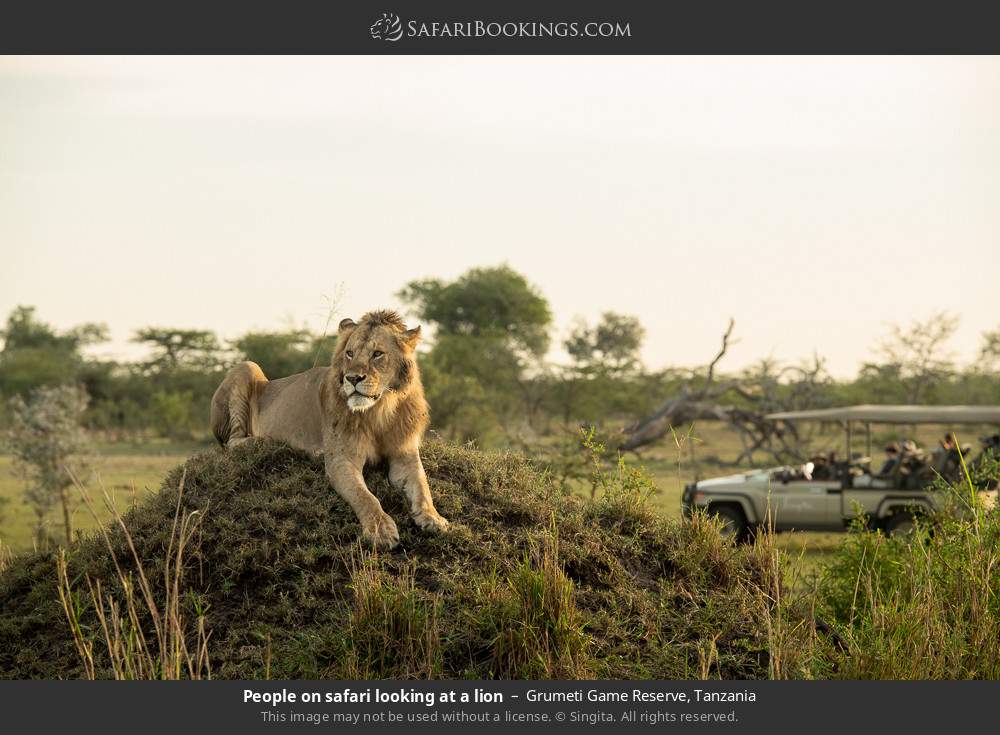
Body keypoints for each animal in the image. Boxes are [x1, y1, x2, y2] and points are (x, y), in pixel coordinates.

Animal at [210, 310, 448, 549]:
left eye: (377, 354)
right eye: (350, 353)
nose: (352, 378)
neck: (379, 412)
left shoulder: (404, 455)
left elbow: (422, 485)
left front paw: (434, 518)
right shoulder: (341, 460)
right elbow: (364, 497)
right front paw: (381, 530)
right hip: (247, 366)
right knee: (233, 441)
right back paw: (269, 441)